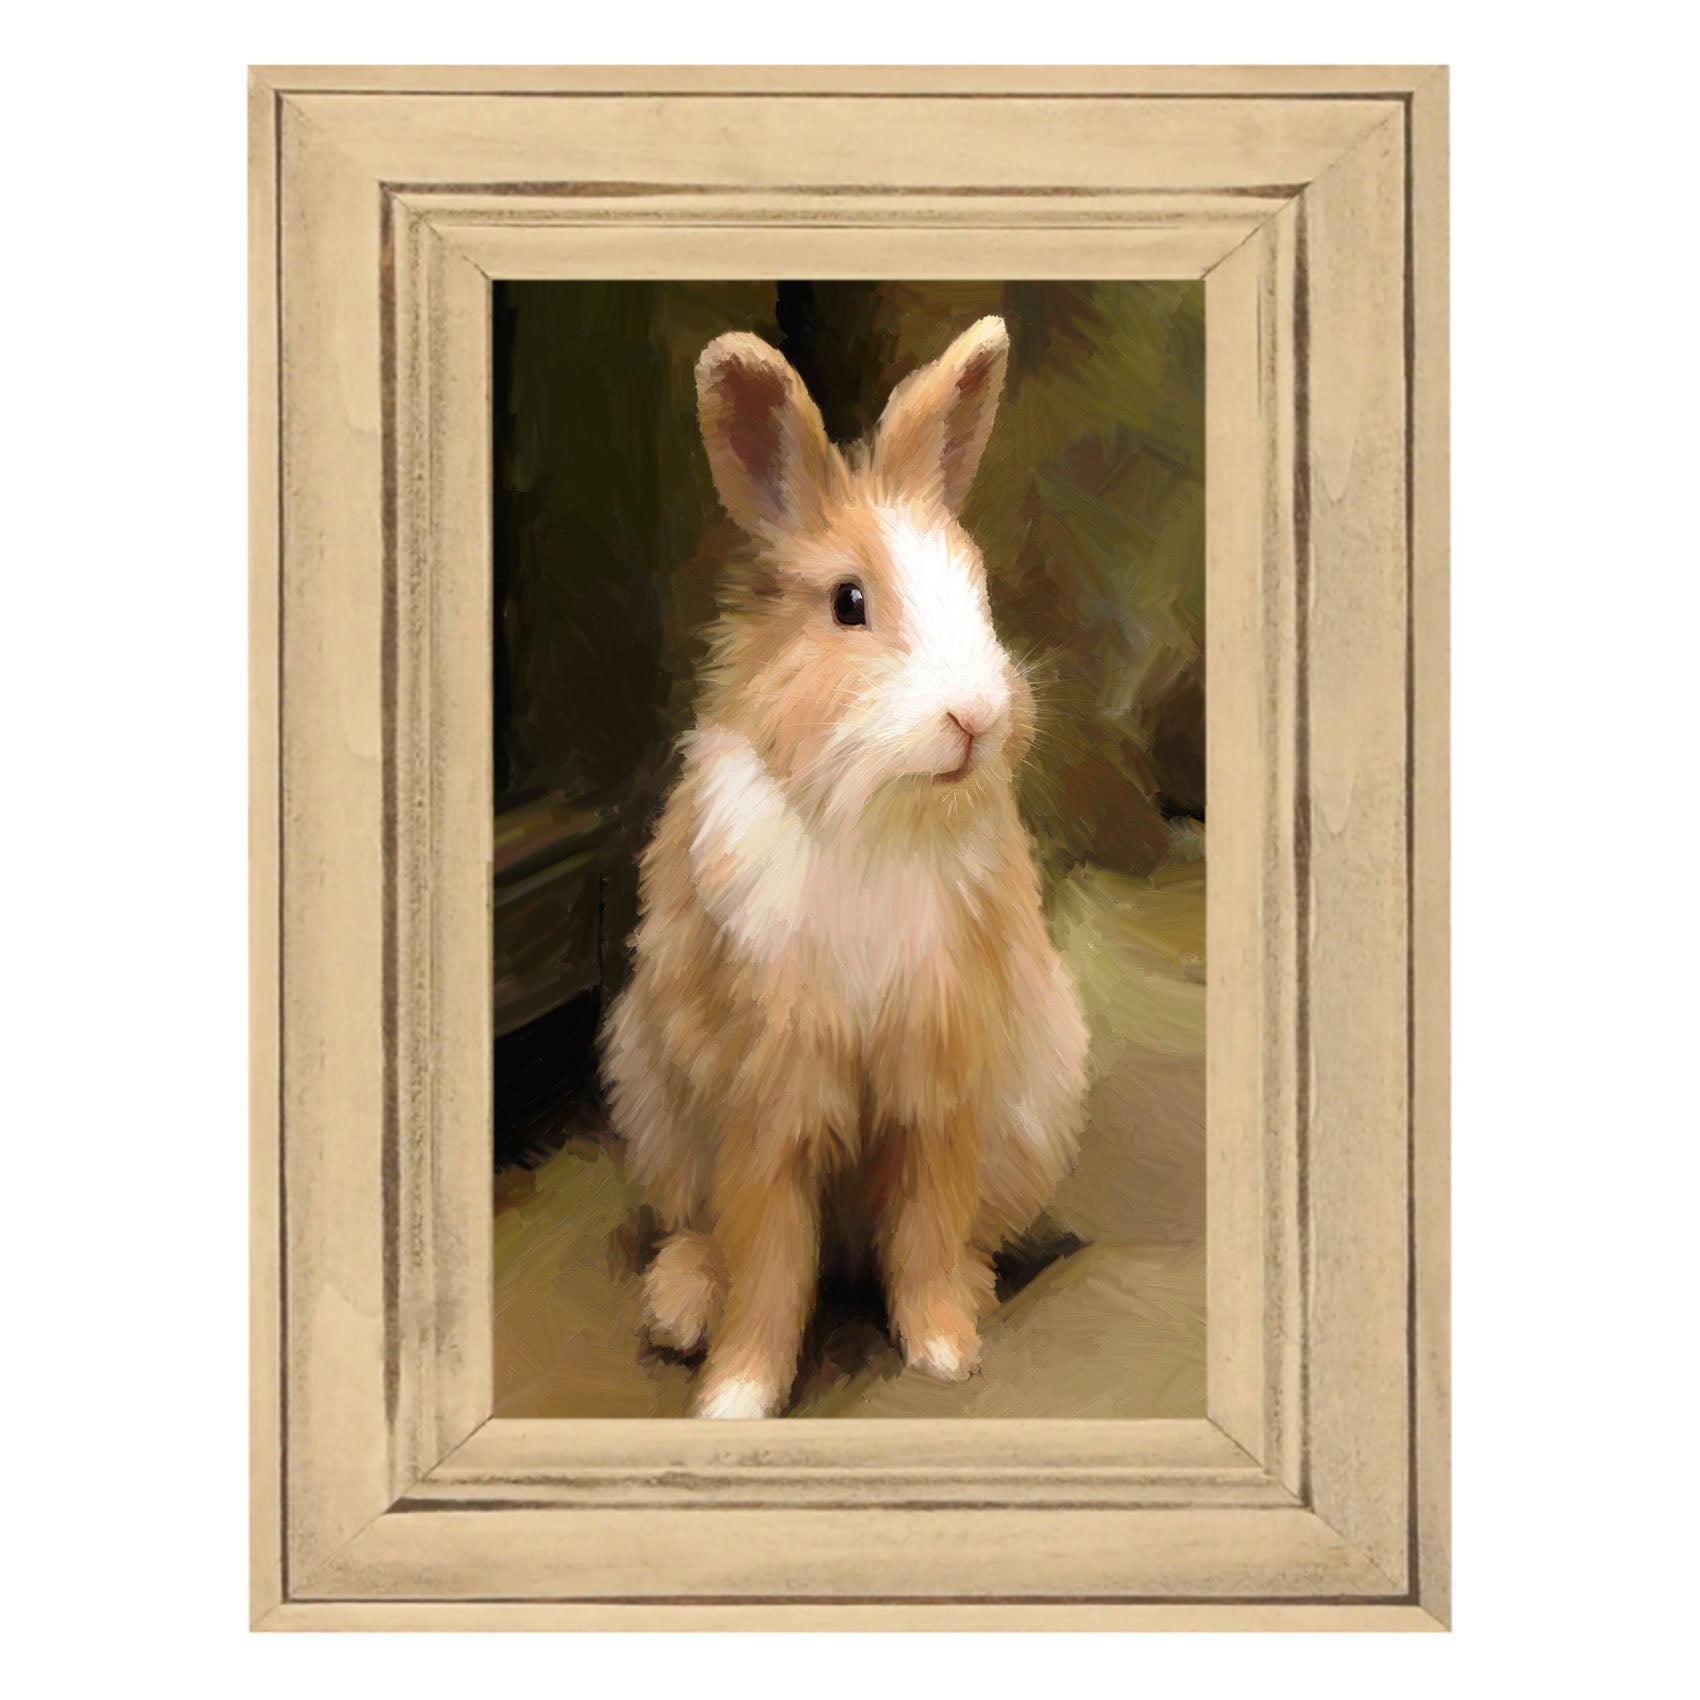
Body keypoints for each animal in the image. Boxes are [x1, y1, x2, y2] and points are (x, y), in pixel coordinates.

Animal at [600, 316, 1090, 1418]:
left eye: (977, 591)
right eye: (849, 603)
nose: (975, 717)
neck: (875, 813)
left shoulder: (937, 1076)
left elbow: (924, 1224)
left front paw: (945, 1348)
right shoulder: (766, 1093)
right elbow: (769, 1252)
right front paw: (737, 1396)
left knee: (957, 1231)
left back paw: (972, 1289)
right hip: (656, 1103)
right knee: (702, 1231)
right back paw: (679, 1309)